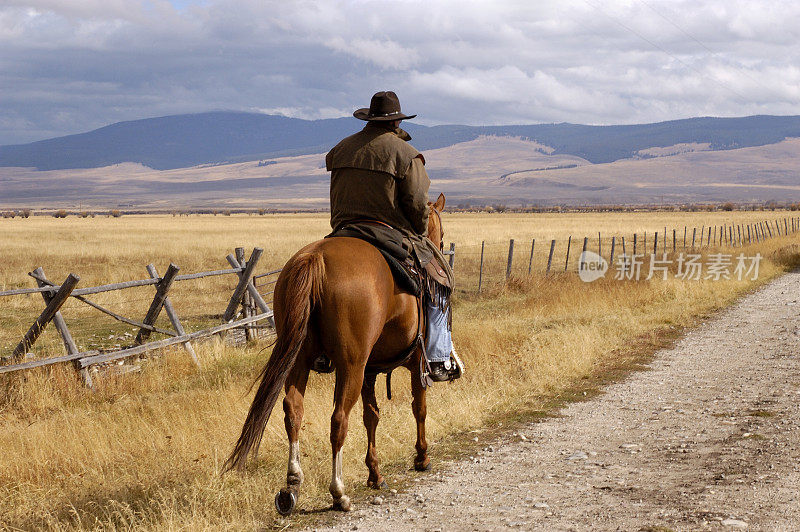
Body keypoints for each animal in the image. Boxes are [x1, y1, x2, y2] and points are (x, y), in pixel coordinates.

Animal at [225, 193, 446, 512]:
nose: (440, 248)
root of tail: (316, 258)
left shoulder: (370, 369)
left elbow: (371, 416)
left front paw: (375, 474)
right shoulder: (416, 362)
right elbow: (419, 408)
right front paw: (421, 457)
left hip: (300, 360)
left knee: (293, 410)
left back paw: (291, 486)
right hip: (350, 366)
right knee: (339, 419)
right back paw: (338, 492)